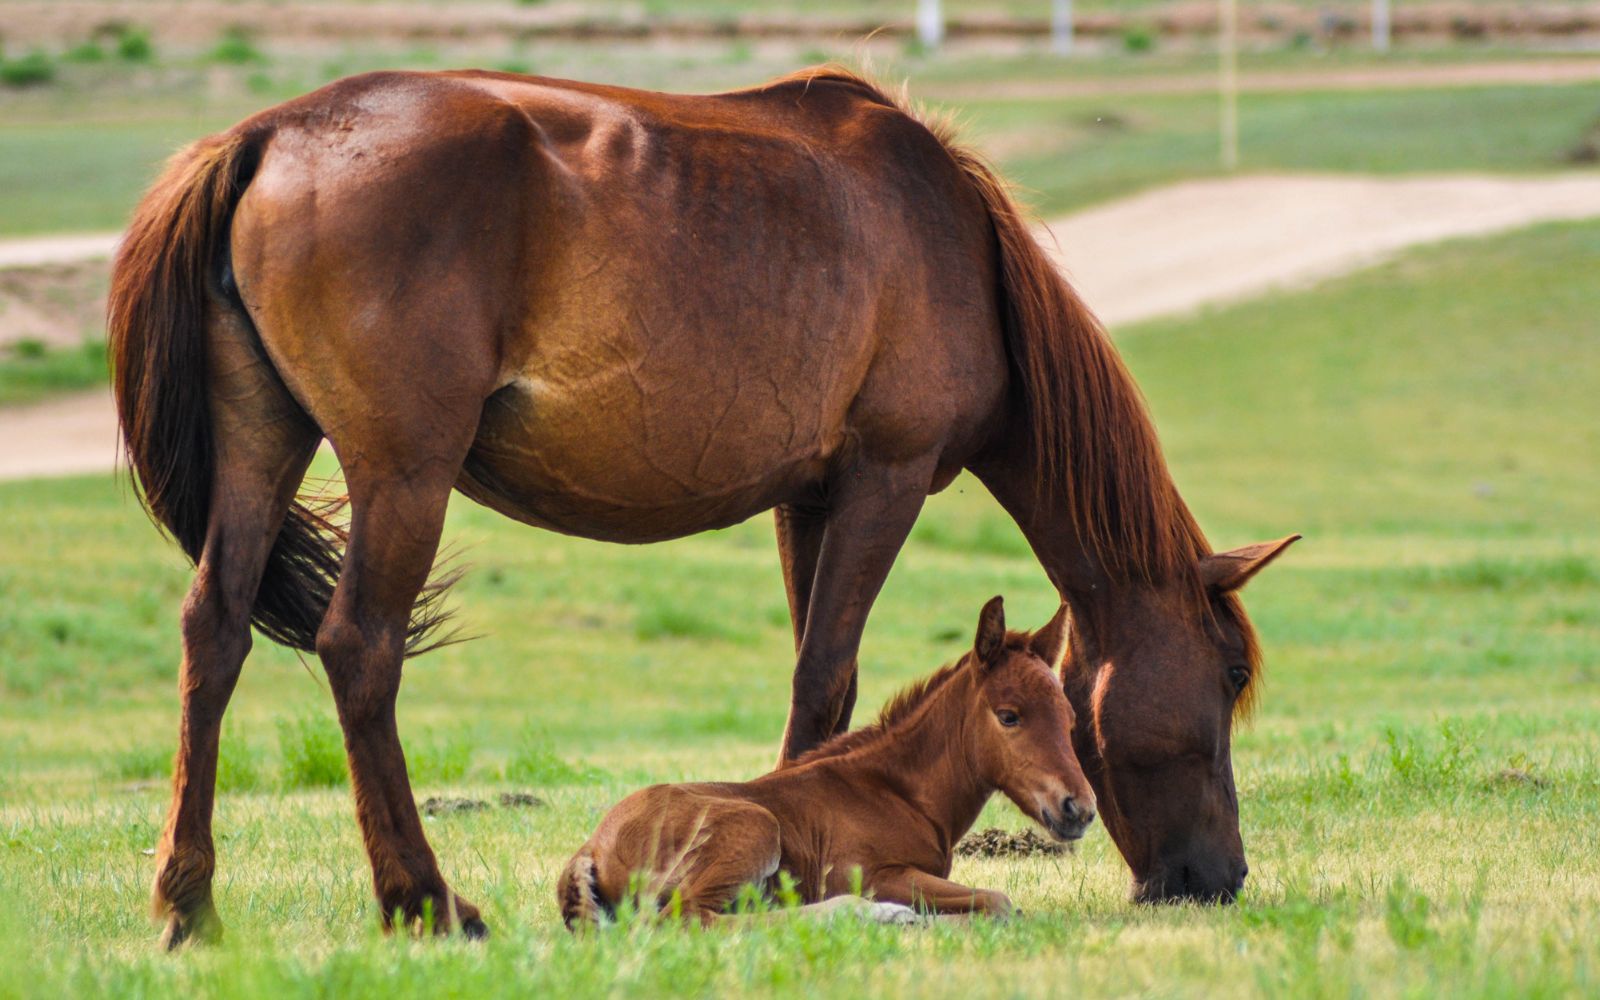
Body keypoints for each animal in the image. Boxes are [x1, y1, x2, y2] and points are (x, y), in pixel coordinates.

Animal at [556, 595, 1094, 921]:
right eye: (1009, 716)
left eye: (1069, 716)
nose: (1080, 809)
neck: (898, 792)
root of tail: (591, 848)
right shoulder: (875, 874)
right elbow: (999, 901)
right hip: (753, 829)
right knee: (693, 920)